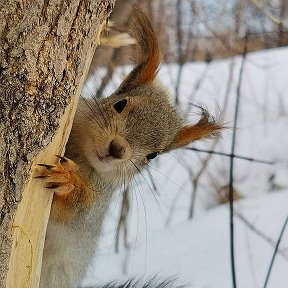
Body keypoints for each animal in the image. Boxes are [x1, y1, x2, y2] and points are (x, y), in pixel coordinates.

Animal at [34, 6, 223, 288]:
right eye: (120, 103)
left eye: (153, 155)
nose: (117, 150)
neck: (81, 156)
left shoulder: (98, 203)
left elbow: (76, 215)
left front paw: (68, 180)